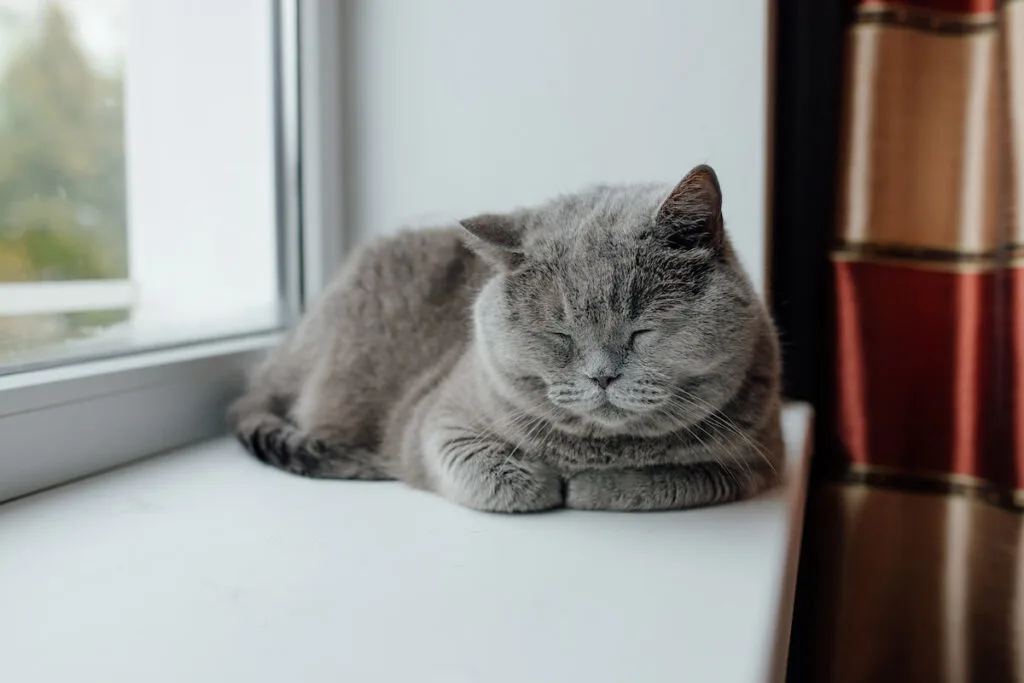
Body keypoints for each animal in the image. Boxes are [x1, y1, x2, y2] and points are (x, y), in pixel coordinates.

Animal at [228, 165, 778, 511]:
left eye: (642, 331)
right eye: (559, 333)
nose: (602, 376)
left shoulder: (756, 462)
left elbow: (675, 477)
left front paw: (589, 487)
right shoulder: (435, 420)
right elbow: (495, 478)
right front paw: (548, 484)